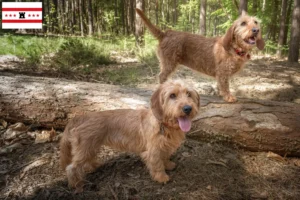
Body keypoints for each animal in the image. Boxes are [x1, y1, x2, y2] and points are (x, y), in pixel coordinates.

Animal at [59, 79, 199, 192]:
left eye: (188, 94)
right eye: (172, 95)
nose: (188, 108)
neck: (164, 124)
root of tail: (81, 117)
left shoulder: (164, 147)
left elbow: (164, 157)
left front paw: (168, 165)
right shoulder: (152, 151)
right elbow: (157, 164)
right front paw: (161, 177)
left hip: (91, 147)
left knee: (87, 160)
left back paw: (94, 166)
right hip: (85, 148)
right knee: (71, 168)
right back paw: (76, 184)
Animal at [136, 8, 264, 102]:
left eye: (256, 22)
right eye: (243, 23)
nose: (256, 30)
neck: (234, 48)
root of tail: (165, 33)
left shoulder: (221, 75)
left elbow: (220, 85)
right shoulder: (222, 73)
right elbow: (225, 86)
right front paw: (228, 97)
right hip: (169, 63)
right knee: (161, 76)